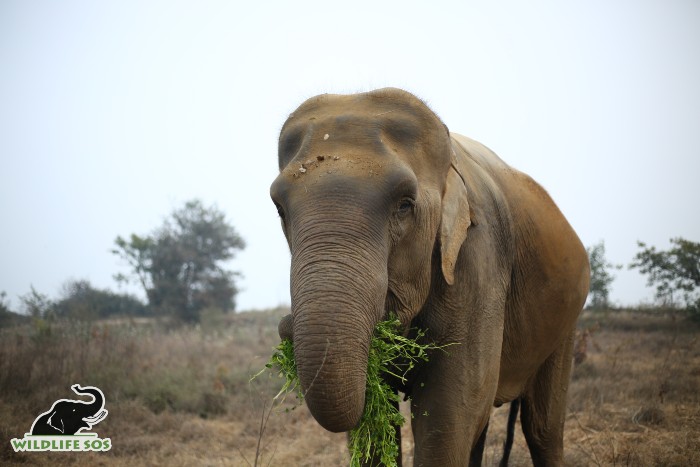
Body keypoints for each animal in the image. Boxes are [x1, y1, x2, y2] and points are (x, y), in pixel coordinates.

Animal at [270, 88, 588, 467]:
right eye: (279, 209)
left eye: (405, 205)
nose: (286, 325)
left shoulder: (479, 261)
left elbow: (452, 412)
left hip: (567, 319)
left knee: (541, 428)